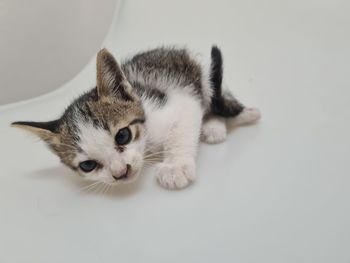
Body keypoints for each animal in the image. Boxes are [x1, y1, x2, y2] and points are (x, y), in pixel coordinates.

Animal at [12, 47, 260, 190]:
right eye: (88, 165)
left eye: (122, 136)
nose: (120, 173)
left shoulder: (180, 101)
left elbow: (181, 128)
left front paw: (175, 166)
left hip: (204, 75)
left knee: (218, 97)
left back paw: (229, 119)